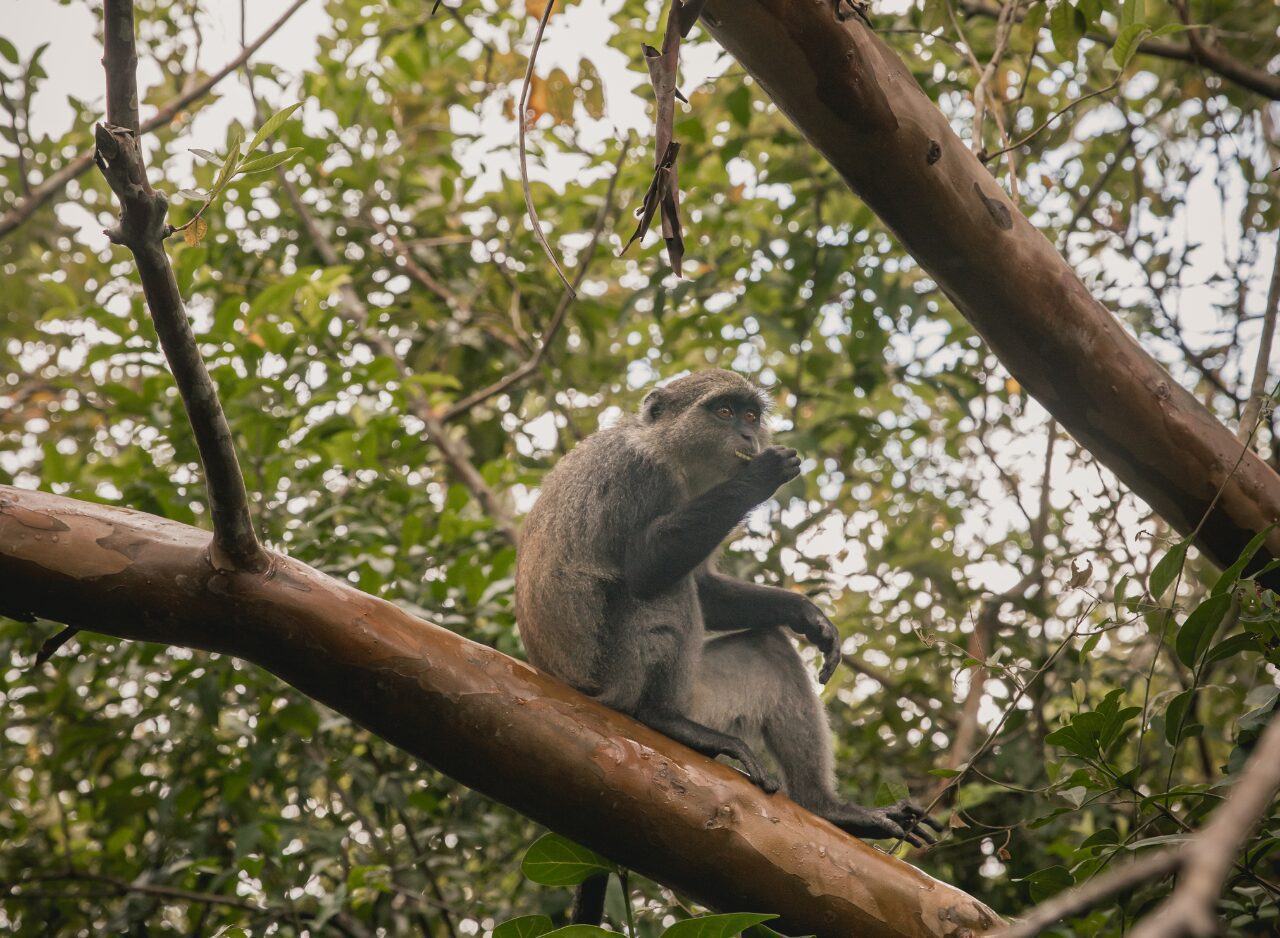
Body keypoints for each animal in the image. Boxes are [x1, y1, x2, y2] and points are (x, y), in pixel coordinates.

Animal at [515, 370, 938, 919]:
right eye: (723, 412)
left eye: (751, 414)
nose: (747, 435)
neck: (669, 451)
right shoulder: (642, 476)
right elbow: (646, 569)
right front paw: (762, 475)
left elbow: (708, 591)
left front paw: (807, 615)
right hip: (614, 678)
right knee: (660, 592)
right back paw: (663, 719)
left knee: (769, 652)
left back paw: (829, 810)